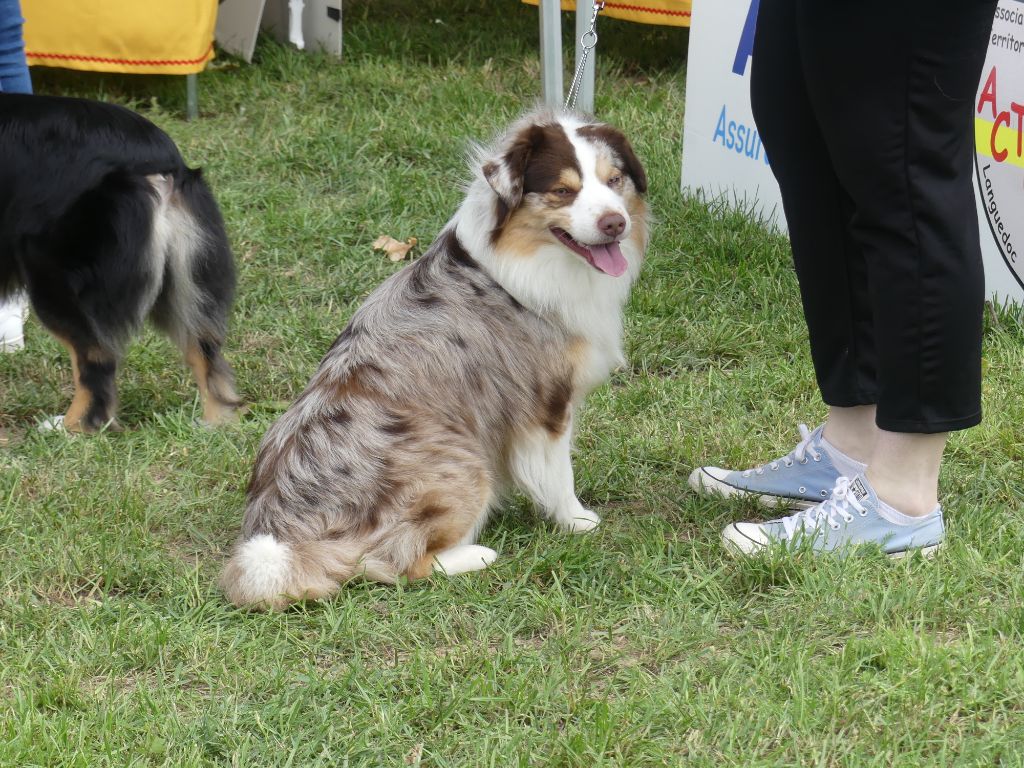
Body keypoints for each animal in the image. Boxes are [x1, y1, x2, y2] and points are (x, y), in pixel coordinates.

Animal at [223, 109, 647, 614]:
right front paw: (578, 521)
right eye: (564, 191)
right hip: (461, 461)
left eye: (614, 180)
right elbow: (558, 474)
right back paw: (477, 553)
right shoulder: (545, 404)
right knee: (397, 563)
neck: (526, 258)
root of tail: (287, 536)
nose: (615, 223)